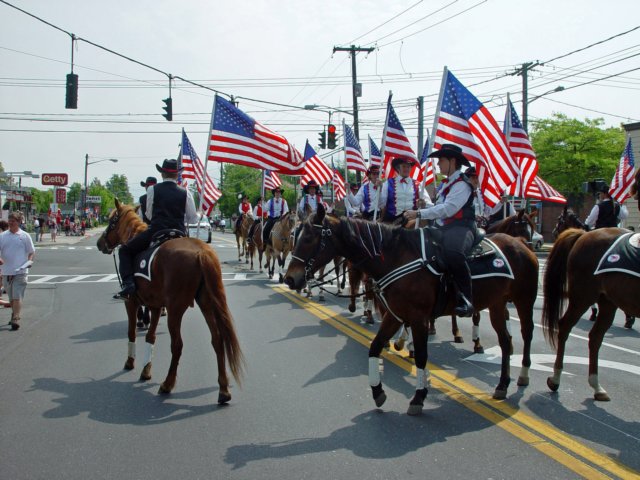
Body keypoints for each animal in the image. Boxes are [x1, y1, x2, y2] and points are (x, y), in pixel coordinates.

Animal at [95, 201, 245, 404]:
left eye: (111, 222)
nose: (99, 243)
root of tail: (201, 252)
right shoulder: (156, 306)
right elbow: (150, 336)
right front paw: (146, 370)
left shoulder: (132, 303)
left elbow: (132, 332)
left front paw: (130, 362)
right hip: (207, 304)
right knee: (217, 340)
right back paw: (223, 390)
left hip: (175, 310)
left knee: (178, 345)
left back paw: (167, 384)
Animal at [282, 204, 536, 414]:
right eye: (296, 236)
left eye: (309, 238)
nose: (290, 279)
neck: (396, 257)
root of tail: (521, 244)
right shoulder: (394, 315)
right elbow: (375, 347)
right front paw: (378, 392)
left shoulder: (418, 317)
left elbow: (422, 356)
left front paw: (419, 397)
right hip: (496, 304)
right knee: (505, 342)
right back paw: (502, 385)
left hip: (523, 301)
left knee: (526, 333)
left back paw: (523, 375)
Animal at [540, 227, 640, 400]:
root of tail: (585, 234)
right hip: (582, 297)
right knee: (565, 327)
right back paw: (555, 378)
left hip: (607, 302)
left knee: (595, 337)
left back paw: (596, 386)